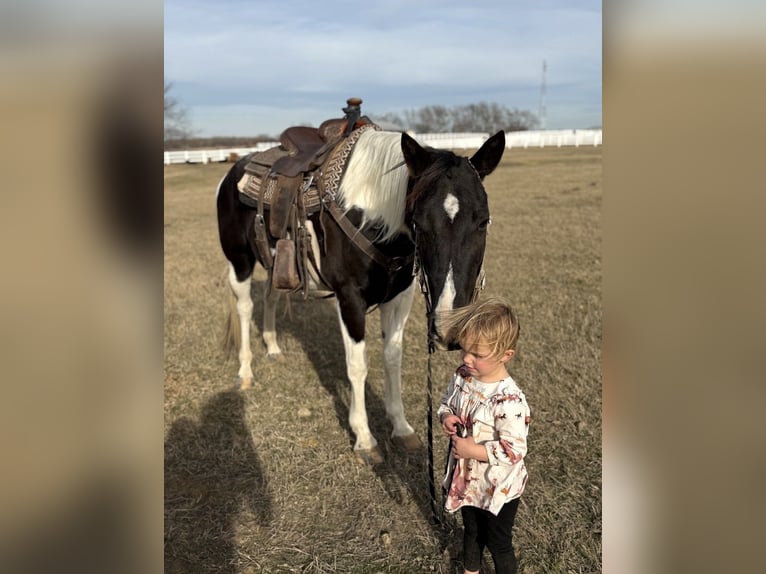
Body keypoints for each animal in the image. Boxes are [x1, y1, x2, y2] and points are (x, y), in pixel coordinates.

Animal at [216, 123, 505, 462]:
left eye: (483, 221)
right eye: (419, 222)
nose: (449, 327)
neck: (372, 218)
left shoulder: (400, 296)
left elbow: (392, 358)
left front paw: (401, 428)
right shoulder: (350, 299)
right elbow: (357, 366)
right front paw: (364, 437)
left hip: (277, 266)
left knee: (270, 297)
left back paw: (273, 348)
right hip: (239, 262)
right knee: (245, 307)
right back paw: (246, 371)